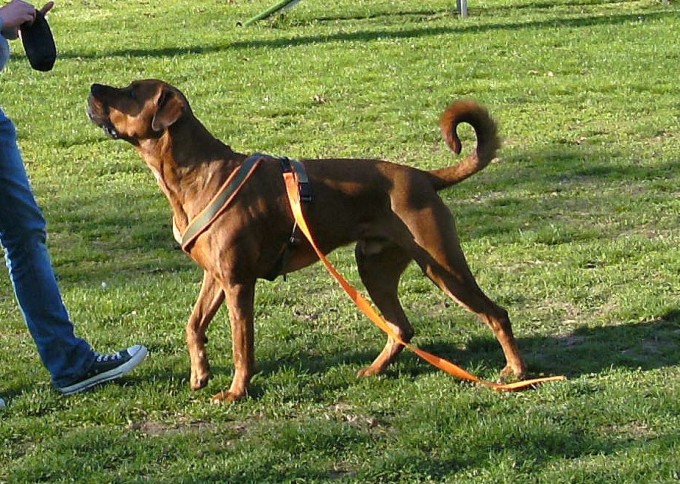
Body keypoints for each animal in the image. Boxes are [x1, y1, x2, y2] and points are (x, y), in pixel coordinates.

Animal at [87, 79, 526, 402]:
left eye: (131, 92)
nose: (93, 86)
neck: (196, 173)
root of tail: (424, 177)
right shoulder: (216, 276)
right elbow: (193, 325)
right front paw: (200, 373)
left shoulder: (238, 284)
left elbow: (242, 346)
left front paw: (236, 392)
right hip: (376, 268)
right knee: (401, 328)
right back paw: (374, 370)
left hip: (443, 266)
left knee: (496, 313)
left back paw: (516, 371)